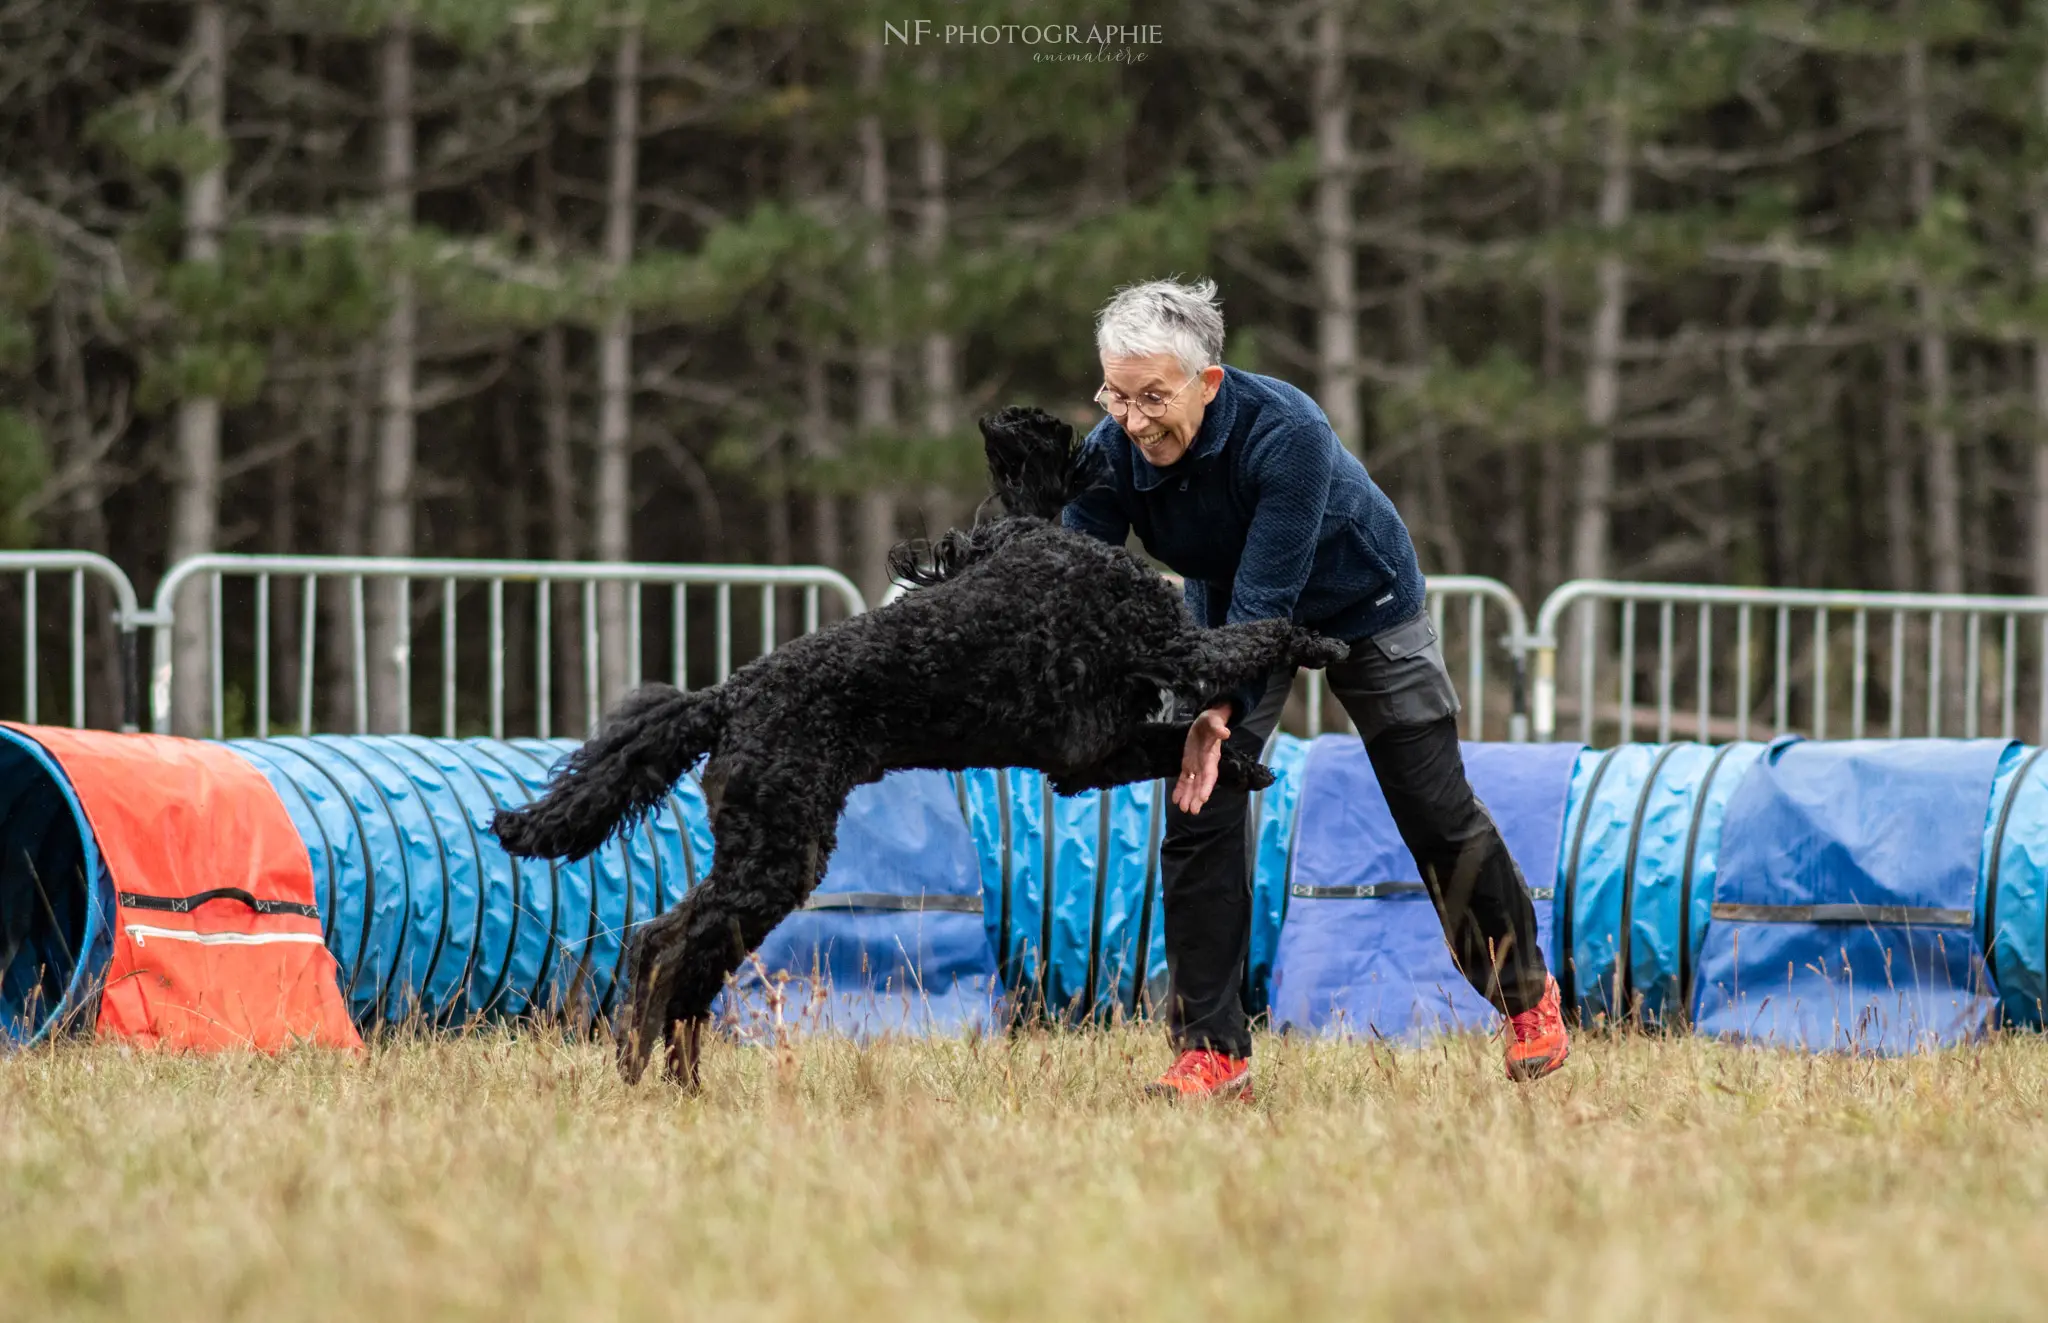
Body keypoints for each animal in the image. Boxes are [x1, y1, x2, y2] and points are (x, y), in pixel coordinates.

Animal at [489, 403, 1351, 1089]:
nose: (1105, 422)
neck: (1026, 546)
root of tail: (728, 695)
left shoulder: (1092, 758)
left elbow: (1175, 740)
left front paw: (1241, 762)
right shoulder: (1168, 658)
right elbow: (1254, 634)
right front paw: (1319, 640)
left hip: (767, 857)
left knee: (678, 955)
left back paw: (670, 1076)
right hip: (777, 852)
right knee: (666, 946)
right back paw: (651, 1067)